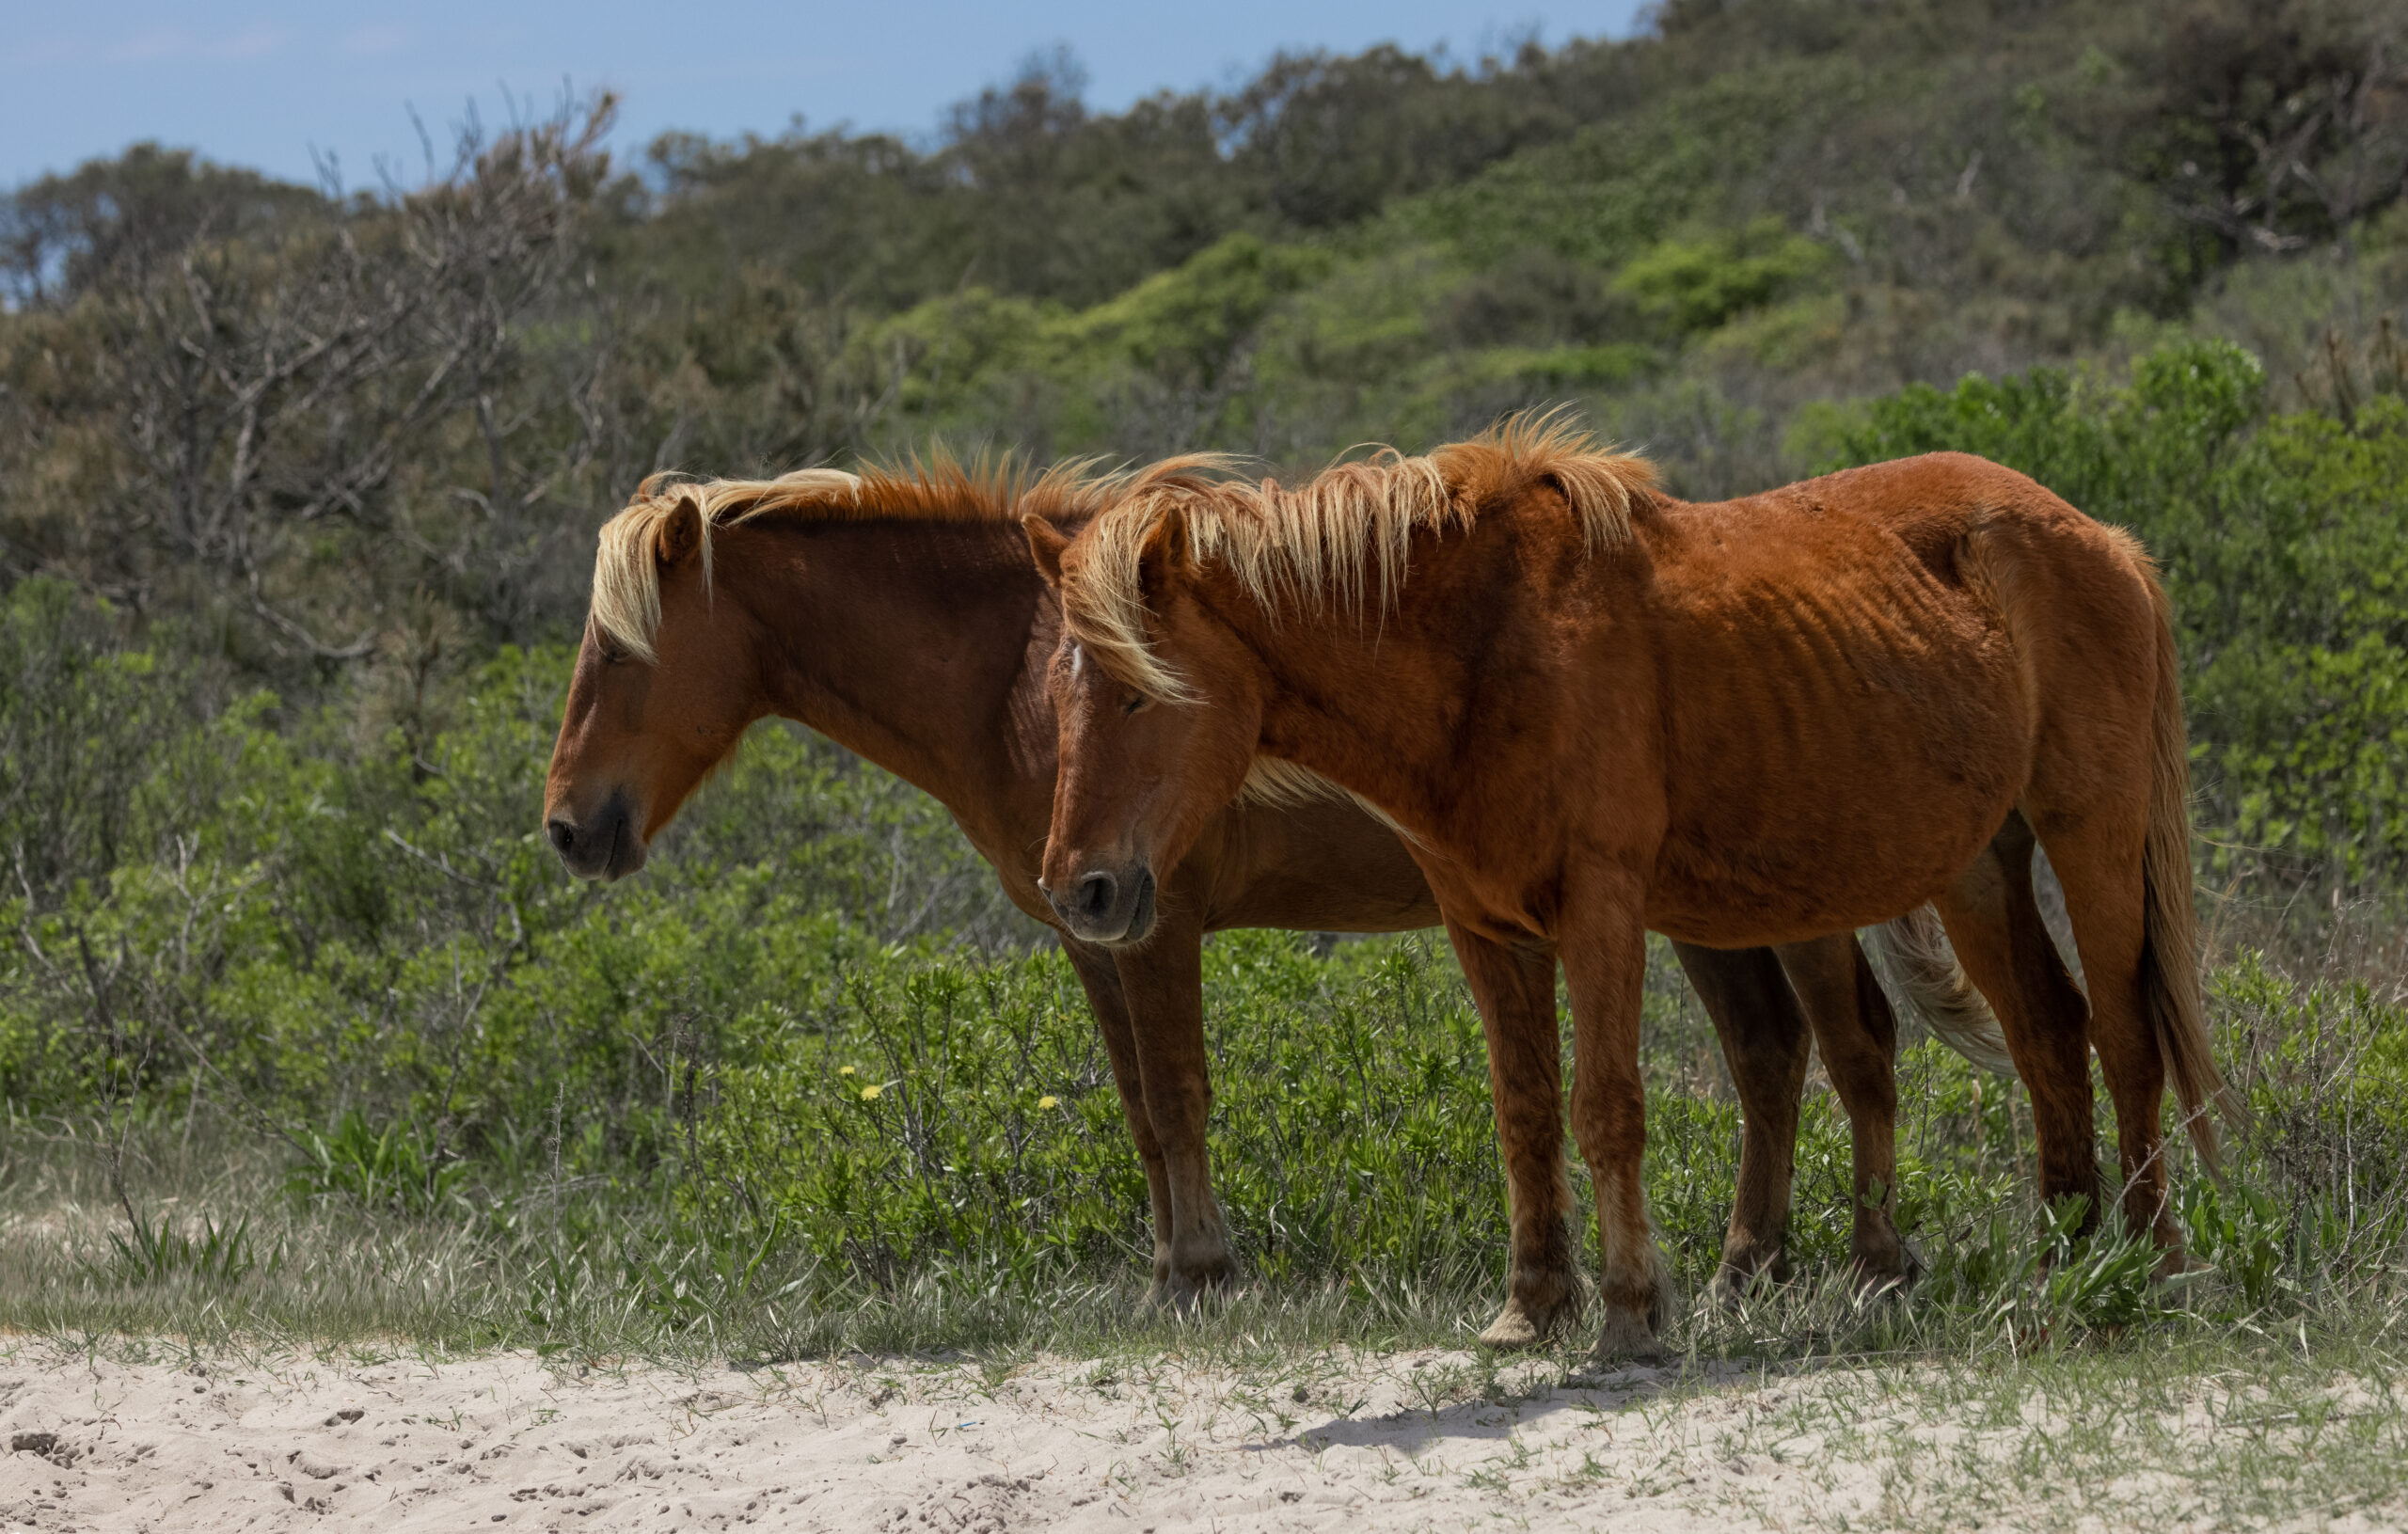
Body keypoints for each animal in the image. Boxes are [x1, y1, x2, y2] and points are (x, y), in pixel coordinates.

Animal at [1027, 415, 2237, 1361]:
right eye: (1057, 693)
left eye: (1141, 693)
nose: (1081, 891)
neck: (1483, 647)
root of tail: (2100, 538)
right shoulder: (1486, 928)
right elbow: (1523, 1109)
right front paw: (1529, 1307)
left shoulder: (1600, 909)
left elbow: (1606, 1106)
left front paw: (1629, 1310)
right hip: (1979, 868)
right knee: (2048, 1034)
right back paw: (2061, 1257)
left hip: (2089, 835)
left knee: (2125, 1036)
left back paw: (2151, 1263)